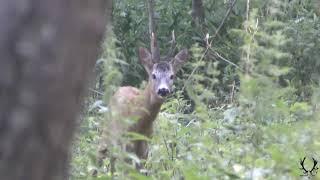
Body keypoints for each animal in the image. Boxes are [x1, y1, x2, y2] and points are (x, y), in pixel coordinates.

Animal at [97, 43, 188, 172]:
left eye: (172, 76)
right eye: (153, 75)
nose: (163, 90)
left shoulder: (144, 149)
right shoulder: (125, 145)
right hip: (107, 135)